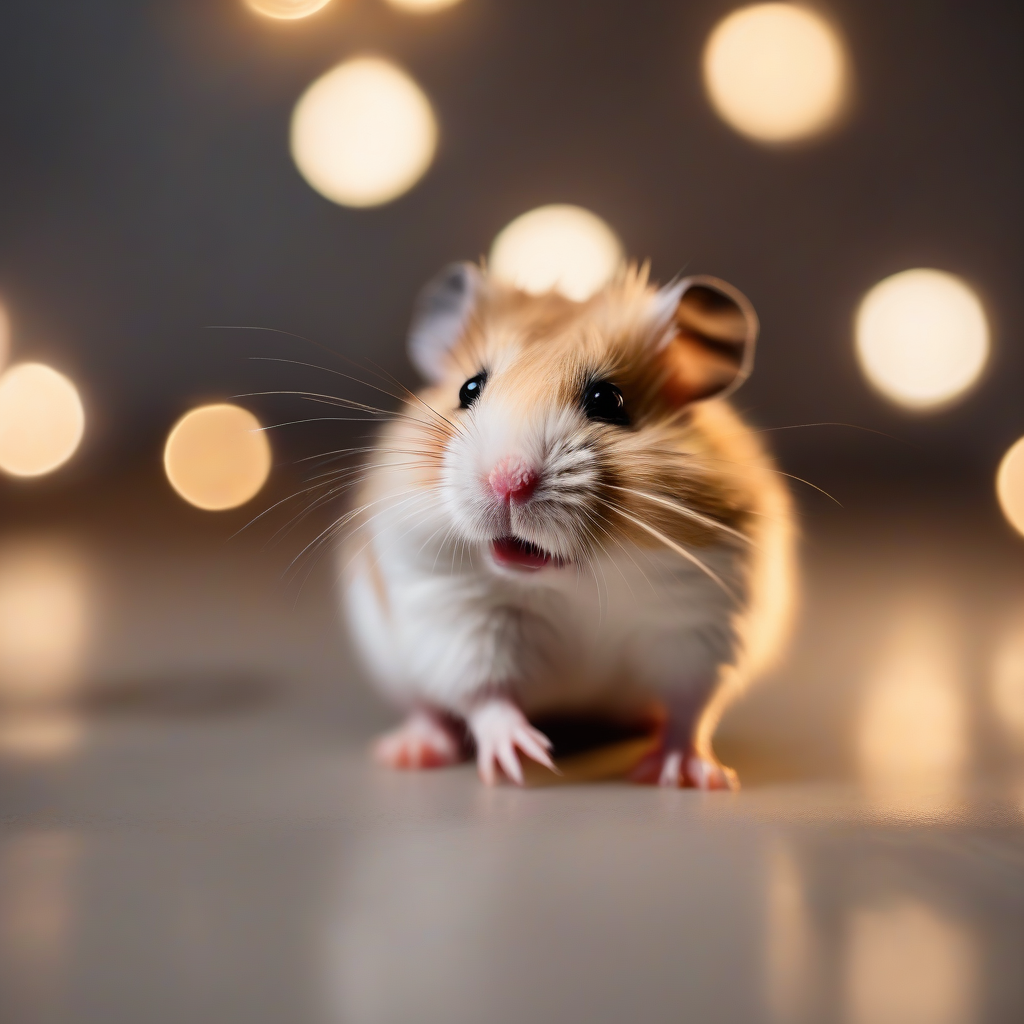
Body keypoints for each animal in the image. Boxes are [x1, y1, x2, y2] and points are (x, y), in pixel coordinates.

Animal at [341, 262, 795, 788]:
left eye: (607, 399)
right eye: (468, 389)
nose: (506, 481)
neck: (574, 583)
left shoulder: (700, 621)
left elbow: (691, 706)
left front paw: (681, 774)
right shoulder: (456, 613)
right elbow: (483, 692)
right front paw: (525, 758)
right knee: (425, 706)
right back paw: (411, 751)